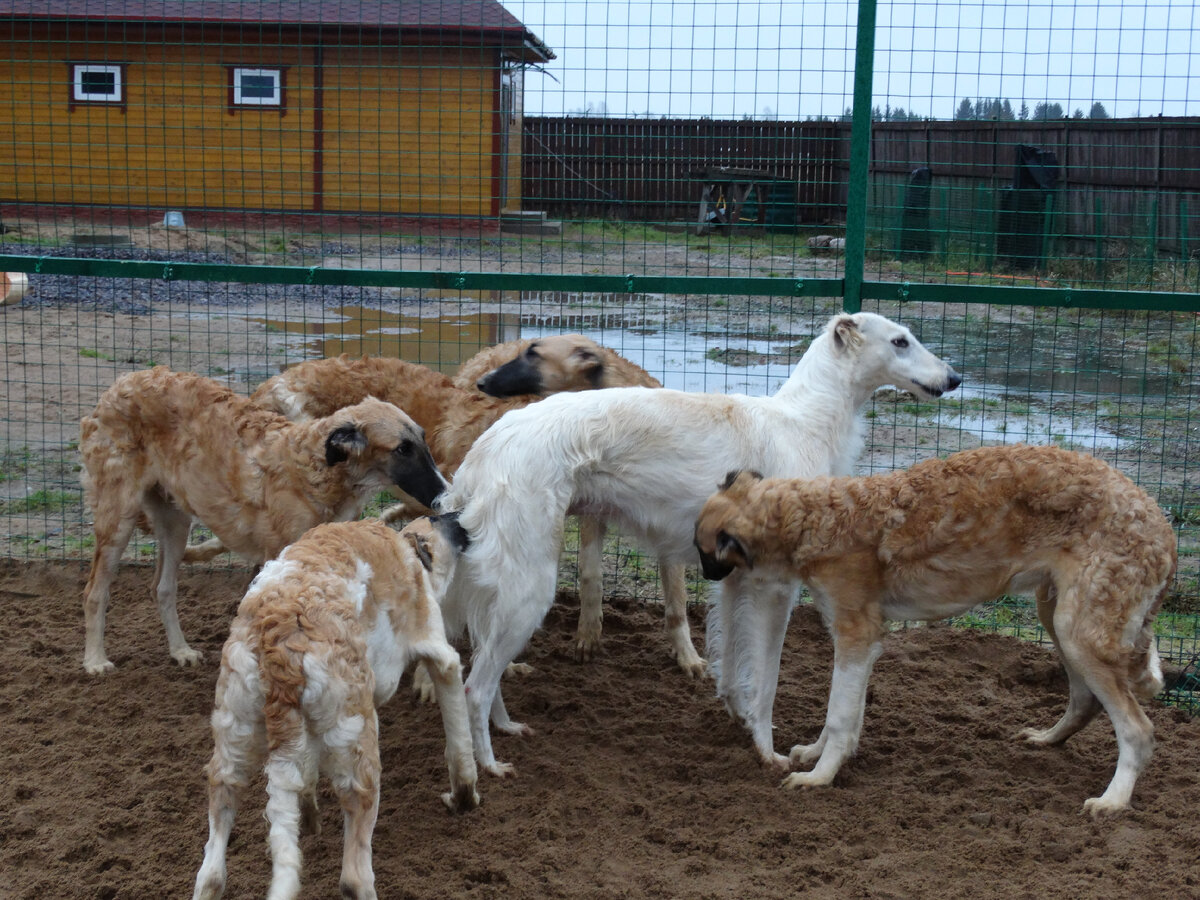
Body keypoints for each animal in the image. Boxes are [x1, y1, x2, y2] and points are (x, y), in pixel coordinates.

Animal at [79, 367, 448, 676]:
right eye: (403, 449)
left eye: (423, 439)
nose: (444, 494)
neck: (314, 472)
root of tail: (122, 381)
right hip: (117, 518)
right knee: (95, 591)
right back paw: (95, 660)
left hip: (175, 522)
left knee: (162, 588)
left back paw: (180, 651)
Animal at [192, 513, 477, 900]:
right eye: (439, 517)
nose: (460, 520)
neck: (408, 550)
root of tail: (278, 640)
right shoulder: (441, 654)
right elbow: (460, 743)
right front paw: (464, 798)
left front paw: (309, 817)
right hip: (358, 748)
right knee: (354, 876)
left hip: (234, 734)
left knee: (211, 870)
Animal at [436, 312, 960, 777]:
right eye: (900, 341)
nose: (954, 378)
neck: (801, 421)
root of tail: (484, 449)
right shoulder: (776, 586)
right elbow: (767, 680)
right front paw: (767, 752)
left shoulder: (733, 577)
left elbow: (731, 665)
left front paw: (736, 718)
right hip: (530, 584)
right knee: (474, 687)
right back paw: (489, 767)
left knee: (485, 672)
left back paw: (506, 729)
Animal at [691, 446, 1176, 816]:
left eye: (703, 549)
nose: (705, 575)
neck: (815, 517)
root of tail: (1162, 524)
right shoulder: (862, 641)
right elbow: (846, 716)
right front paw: (816, 754)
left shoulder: (856, 634)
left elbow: (840, 715)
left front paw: (818, 777)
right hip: (1057, 616)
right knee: (1083, 702)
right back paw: (1046, 739)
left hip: (1079, 635)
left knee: (1138, 730)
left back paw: (1113, 801)